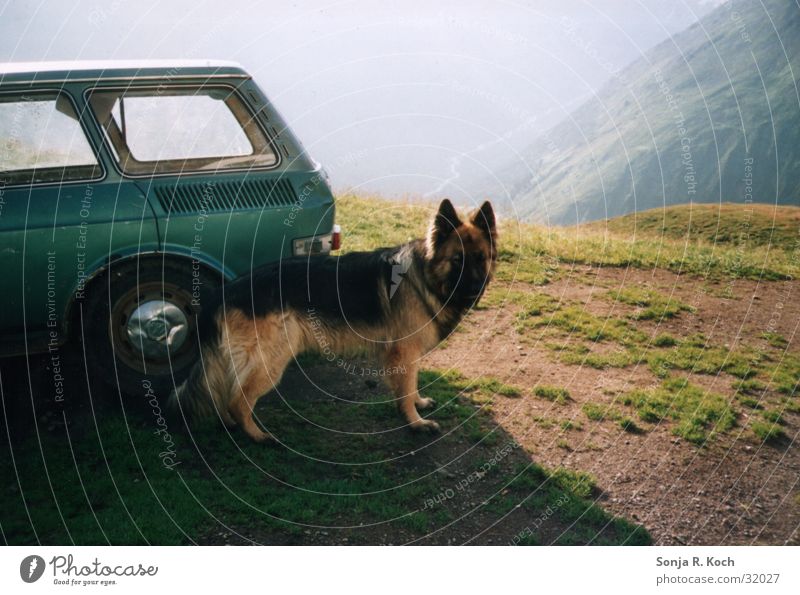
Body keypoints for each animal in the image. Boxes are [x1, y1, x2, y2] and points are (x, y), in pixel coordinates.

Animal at [168, 200, 494, 442]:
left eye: (481, 258)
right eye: (457, 260)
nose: (477, 287)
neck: (423, 276)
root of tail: (225, 292)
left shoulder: (407, 353)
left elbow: (411, 385)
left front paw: (419, 404)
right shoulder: (404, 351)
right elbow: (406, 387)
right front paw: (416, 422)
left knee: (223, 392)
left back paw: (231, 425)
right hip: (272, 358)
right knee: (237, 400)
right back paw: (258, 436)